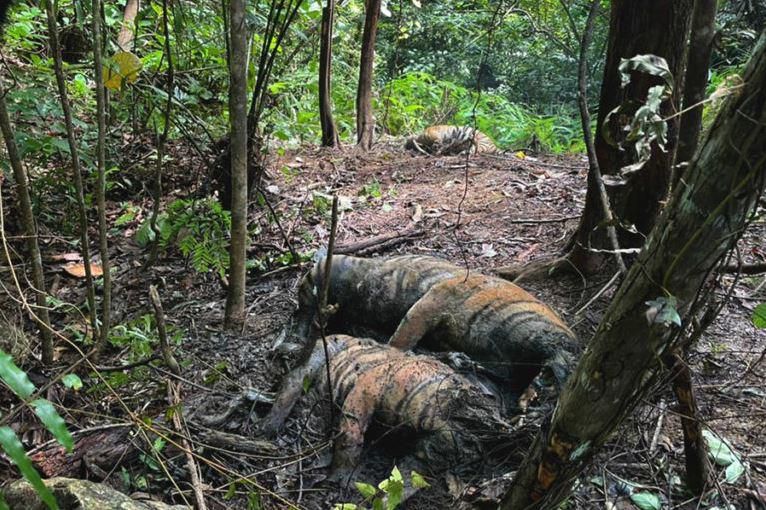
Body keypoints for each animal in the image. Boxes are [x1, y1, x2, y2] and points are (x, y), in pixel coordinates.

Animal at [260, 335, 507, 481]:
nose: (498, 427)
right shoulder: (365, 390)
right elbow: (349, 436)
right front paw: (338, 483)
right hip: (322, 349)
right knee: (295, 379)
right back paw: (267, 428)